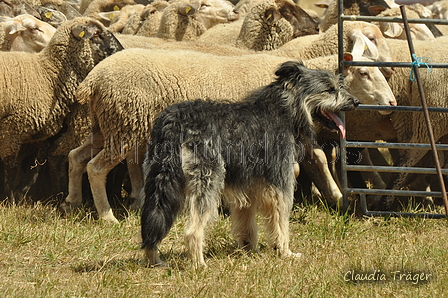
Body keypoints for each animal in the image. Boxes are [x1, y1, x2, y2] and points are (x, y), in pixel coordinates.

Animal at [0, 16, 124, 203]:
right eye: (97, 34)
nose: (121, 51)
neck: (48, 73)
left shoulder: (38, 133)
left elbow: (38, 159)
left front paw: (20, 192)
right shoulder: (13, 129)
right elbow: (10, 165)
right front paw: (9, 200)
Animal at [142, 60, 358, 268]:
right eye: (329, 89)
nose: (356, 101)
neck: (286, 108)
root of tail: (174, 122)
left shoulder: (245, 186)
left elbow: (246, 222)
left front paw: (249, 250)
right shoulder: (280, 185)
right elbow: (281, 222)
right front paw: (284, 252)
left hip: (159, 181)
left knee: (152, 220)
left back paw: (154, 260)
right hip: (206, 181)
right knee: (193, 230)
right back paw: (199, 264)